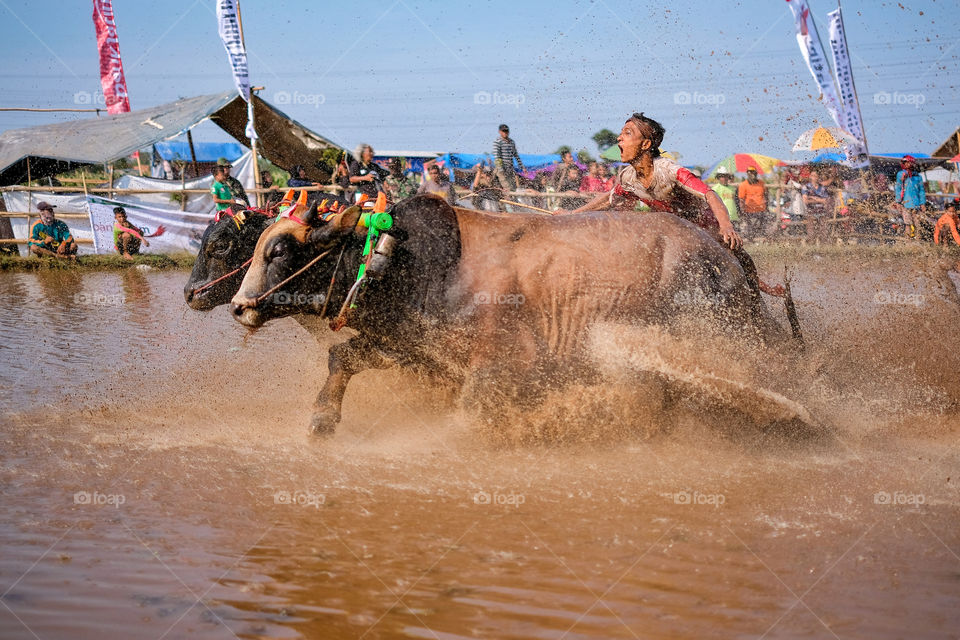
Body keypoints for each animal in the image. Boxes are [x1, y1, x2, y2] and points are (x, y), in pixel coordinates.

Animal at [232, 195, 796, 436]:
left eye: (279, 250)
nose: (239, 306)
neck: (409, 260)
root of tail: (729, 258)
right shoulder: (416, 350)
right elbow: (342, 359)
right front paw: (321, 420)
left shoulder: (505, 364)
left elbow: (469, 412)